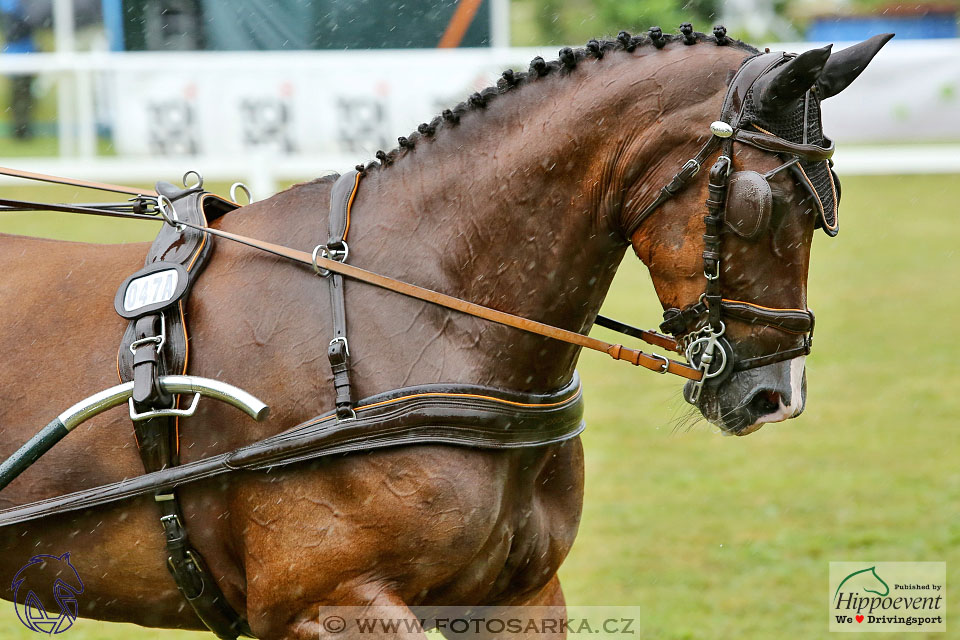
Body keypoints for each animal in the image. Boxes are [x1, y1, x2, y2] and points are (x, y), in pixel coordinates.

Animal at [0, 28, 888, 640]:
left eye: (832, 200)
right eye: (760, 204)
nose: (776, 394)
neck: (419, 311)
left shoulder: (516, 598)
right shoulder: (330, 605)